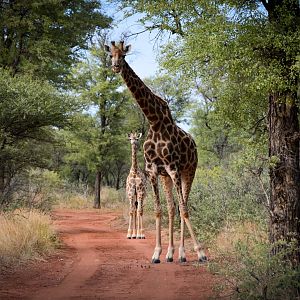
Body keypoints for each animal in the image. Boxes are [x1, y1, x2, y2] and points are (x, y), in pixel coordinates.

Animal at [105, 40, 206, 262]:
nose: (116, 67)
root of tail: (194, 143)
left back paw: (183, 253)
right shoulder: (153, 170)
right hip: (166, 176)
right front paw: (157, 253)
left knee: (183, 205)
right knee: (171, 207)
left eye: (123, 55)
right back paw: (170, 253)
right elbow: (159, 210)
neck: (154, 120)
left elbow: (184, 209)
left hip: (189, 171)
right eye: (110, 55)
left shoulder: (174, 167)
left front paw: (200, 252)